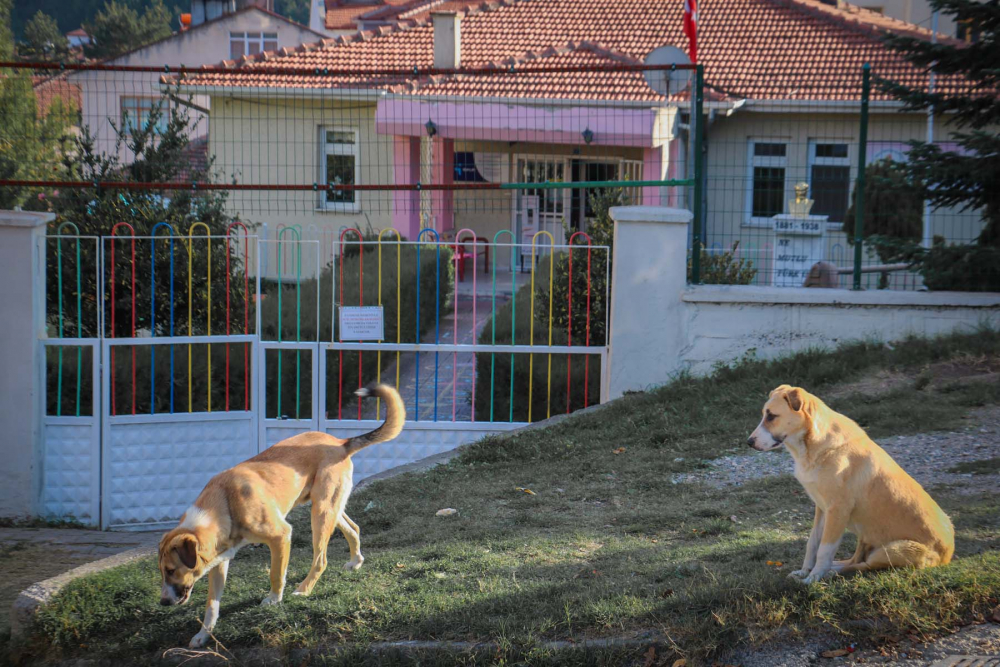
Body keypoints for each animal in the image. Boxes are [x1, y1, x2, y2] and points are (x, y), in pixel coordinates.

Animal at [158, 384, 404, 648]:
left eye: (171, 570)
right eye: (162, 571)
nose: (163, 602)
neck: (224, 504)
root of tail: (340, 442)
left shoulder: (281, 536)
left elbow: (276, 574)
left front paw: (274, 600)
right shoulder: (219, 561)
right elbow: (211, 606)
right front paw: (203, 634)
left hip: (321, 513)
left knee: (321, 559)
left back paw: (304, 589)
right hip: (328, 507)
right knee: (354, 527)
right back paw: (356, 561)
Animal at [752, 386, 952, 584]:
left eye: (771, 416)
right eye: (764, 415)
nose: (749, 442)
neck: (813, 445)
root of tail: (948, 554)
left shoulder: (837, 510)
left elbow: (824, 550)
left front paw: (813, 578)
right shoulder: (822, 508)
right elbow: (812, 543)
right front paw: (804, 572)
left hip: (893, 549)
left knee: (865, 565)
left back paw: (831, 573)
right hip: (865, 536)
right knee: (855, 559)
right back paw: (833, 568)